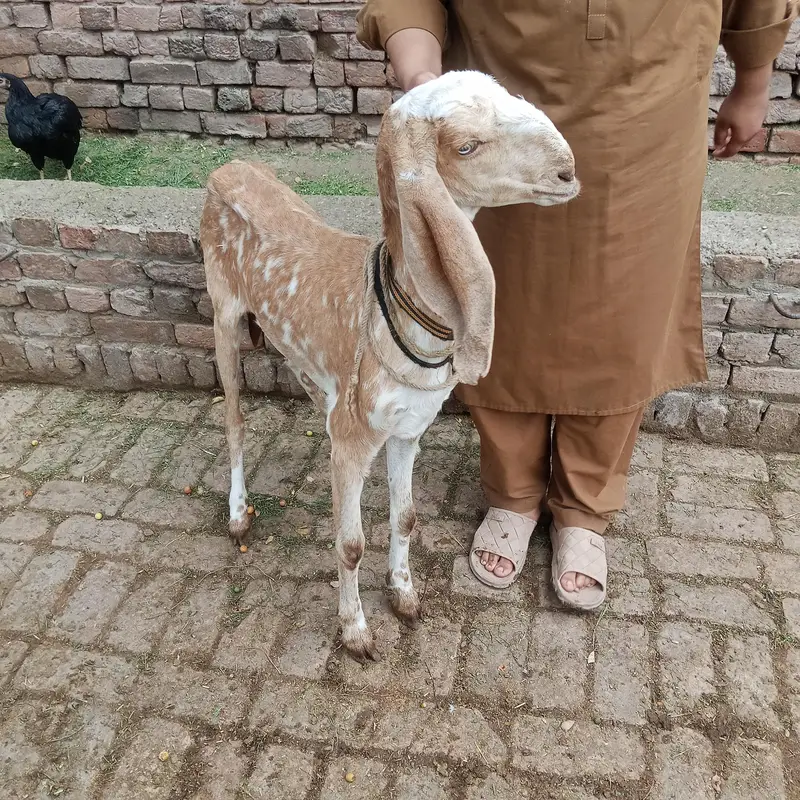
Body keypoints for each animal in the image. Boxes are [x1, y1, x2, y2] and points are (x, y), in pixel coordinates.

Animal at [199, 70, 579, 662]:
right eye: (466, 145)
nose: (567, 171)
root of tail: (225, 168)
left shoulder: (408, 428)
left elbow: (406, 515)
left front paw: (404, 596)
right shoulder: (354, 437)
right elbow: (351, 542)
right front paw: (356, 631)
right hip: (223, 311)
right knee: (235, 418)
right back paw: (239, 516)